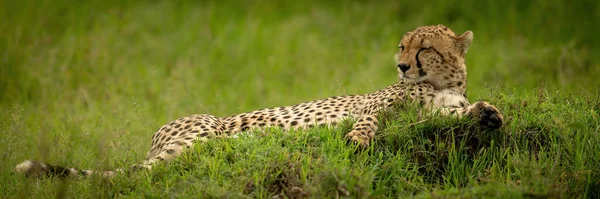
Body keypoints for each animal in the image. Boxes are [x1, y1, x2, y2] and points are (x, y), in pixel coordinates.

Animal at [14, 24, 504, 179]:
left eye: (423, 48)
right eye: (403, 47)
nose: (401, 67)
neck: (442, 80)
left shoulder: (443, 110)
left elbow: (468, 112)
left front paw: (490, 113)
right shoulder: (374, 110)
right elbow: (366, 124)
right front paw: (358, 142)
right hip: (202, 134)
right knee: (141, 172)